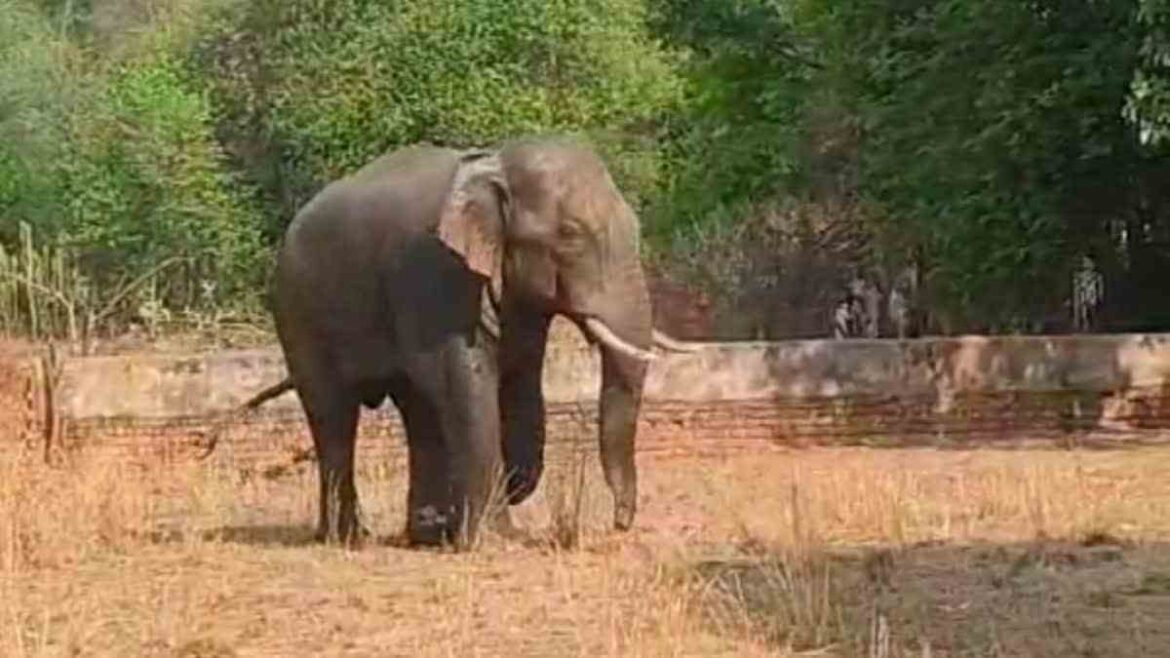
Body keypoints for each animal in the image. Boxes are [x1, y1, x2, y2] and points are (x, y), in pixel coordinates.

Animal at [262, 138, 695, 549]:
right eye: (571, 235)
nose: (619, 523)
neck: (494, 162)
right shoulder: (435, 272)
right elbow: (464, 379)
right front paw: (494, 539)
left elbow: (519, 377)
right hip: (298, 312)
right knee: (333, 413)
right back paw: (346, 538)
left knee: (416, 408)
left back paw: (429, 533)